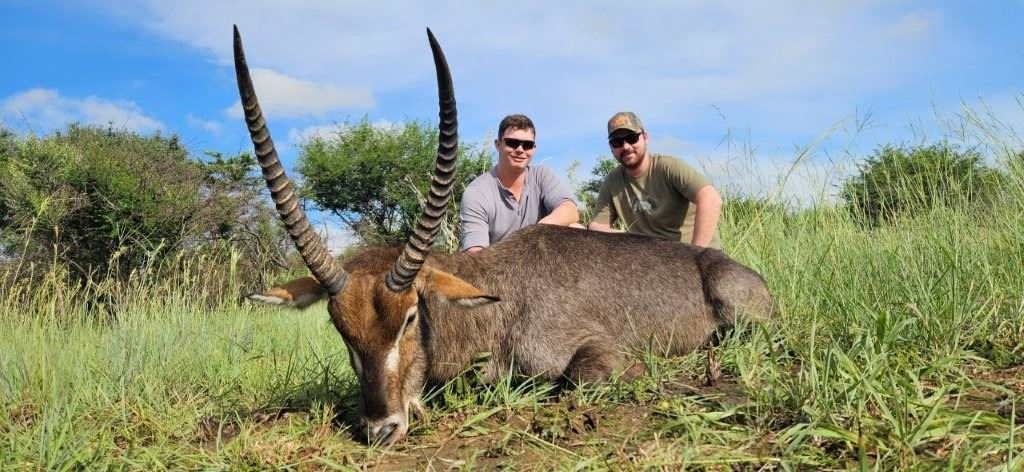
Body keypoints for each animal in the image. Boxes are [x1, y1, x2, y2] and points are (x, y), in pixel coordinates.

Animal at [233, 26, 772, 445]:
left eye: (410, 317)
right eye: (340, 329)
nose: (380, 428)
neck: (498, 304)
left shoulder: (599, 352)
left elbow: (577, 378)